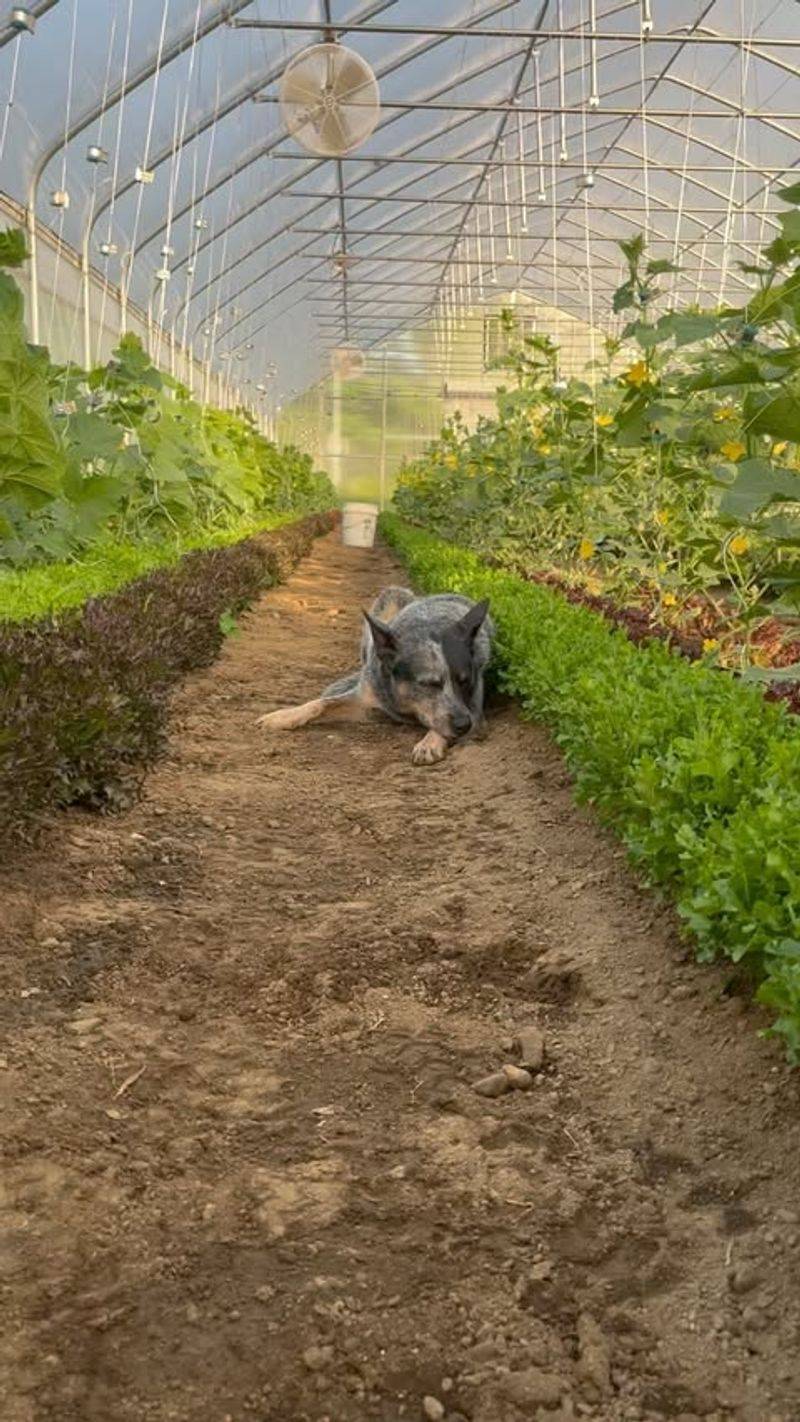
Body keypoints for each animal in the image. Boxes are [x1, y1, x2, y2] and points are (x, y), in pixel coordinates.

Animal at [260, 583, 491, 767]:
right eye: (428, 684)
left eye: (465, 681)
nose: (464, 725)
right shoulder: (367, 698)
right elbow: (322, 703)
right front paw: (284, 715)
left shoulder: (474, 709)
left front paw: (429, 742)